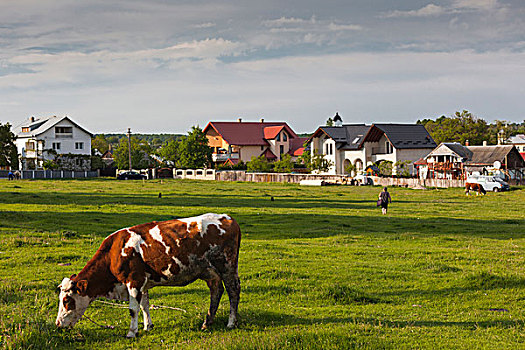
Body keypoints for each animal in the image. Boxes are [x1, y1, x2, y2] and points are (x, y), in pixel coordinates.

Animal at [54, 212, 239, 338]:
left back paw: (231, 322)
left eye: (67, 300)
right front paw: (147, 326)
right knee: (216, 291)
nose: (57, 324)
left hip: (227, 267)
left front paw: (132, 332)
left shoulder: (134, 282)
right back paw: (207, 322)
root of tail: (228, 218)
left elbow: (133, 309)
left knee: (233, 291)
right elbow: (145, 305)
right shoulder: (142, 284)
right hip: (209, 272)